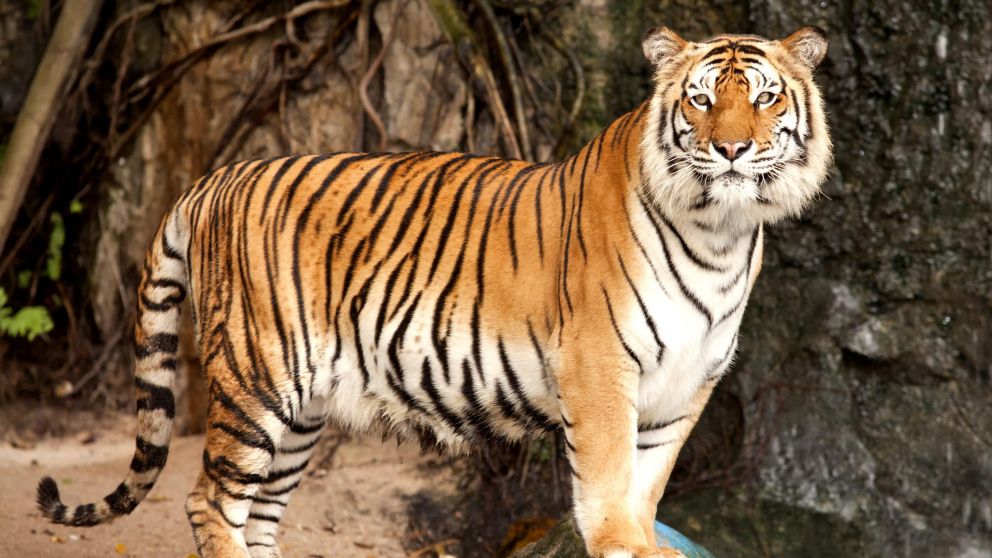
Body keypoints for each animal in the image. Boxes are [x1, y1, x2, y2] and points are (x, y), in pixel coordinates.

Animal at [36, 25, 831, 558]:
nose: (731, 149)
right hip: (256, 379)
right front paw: (621, 544)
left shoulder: (688, 381)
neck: (721, 233)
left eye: (765, 99)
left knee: (258, 513)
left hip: (301, 413)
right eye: (700, 101)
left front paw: (644, 540)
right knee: (211, 501)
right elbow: (608, 482)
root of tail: (211, 180)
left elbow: (647, 483)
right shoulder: (600, 365)